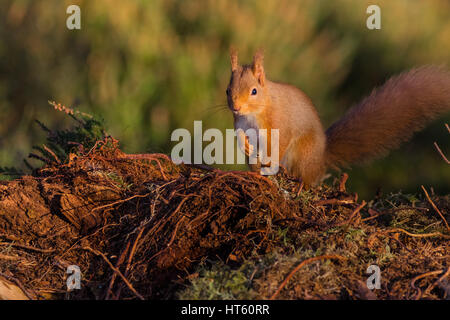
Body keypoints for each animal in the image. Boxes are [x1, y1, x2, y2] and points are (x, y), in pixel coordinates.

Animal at [227, 48, 450, 186]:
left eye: (254, 91)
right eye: (228, 90)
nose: (236, 107)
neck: (254, 113)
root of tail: (321, 158)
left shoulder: (278, 122)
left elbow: (279, 142)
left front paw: (268, 160)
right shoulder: (240, 122)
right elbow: (239, 135)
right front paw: (244, 145)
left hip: (303, 154)